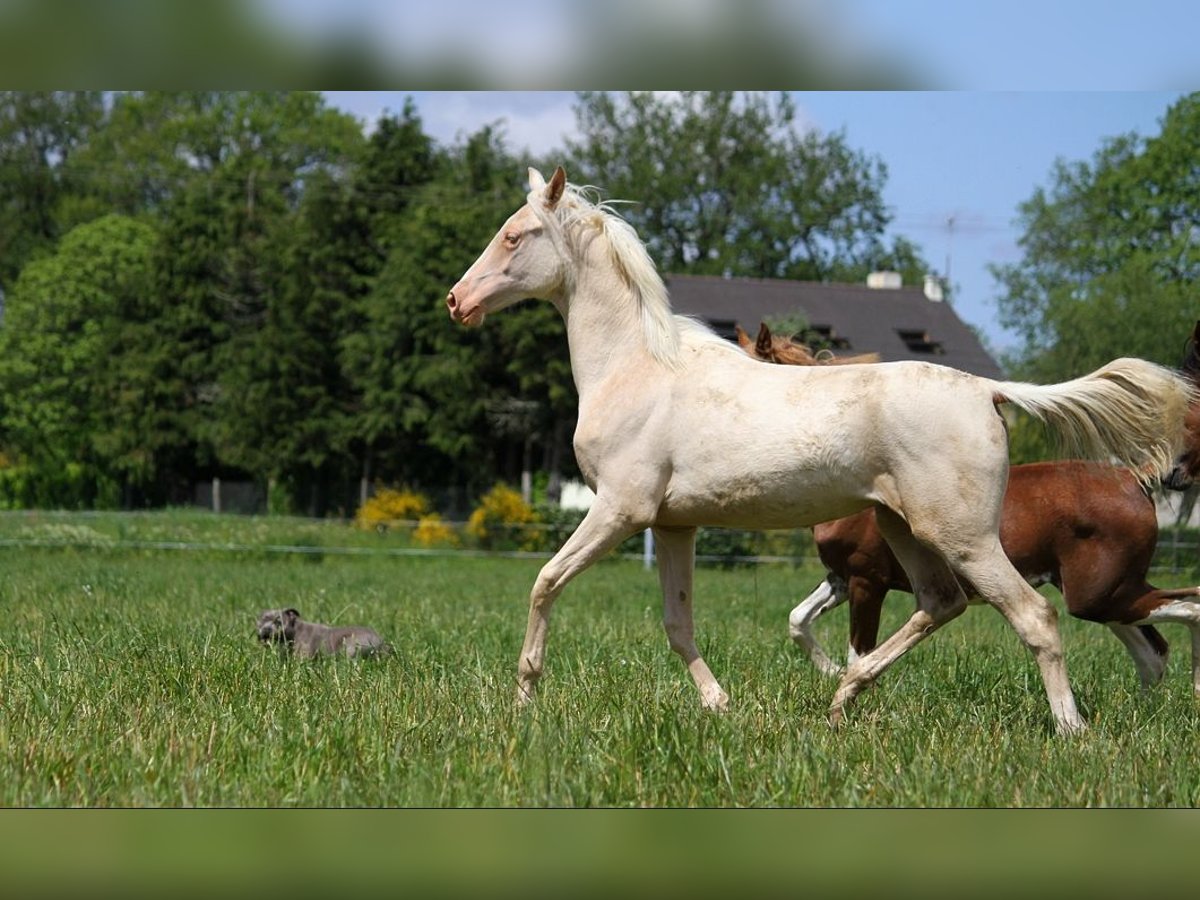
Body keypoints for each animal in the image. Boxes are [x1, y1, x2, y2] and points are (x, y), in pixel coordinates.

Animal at [255, 609, 391, 657]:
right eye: (260, 622)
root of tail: (381, 643)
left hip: (350, 644)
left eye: (278, 621)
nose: (266, 630)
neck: (295, 629)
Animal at [739, 324, 1200, 696]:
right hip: (1107, 593)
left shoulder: (866, 580)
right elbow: (798, 620)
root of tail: (1135, 479)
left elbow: (857, 650)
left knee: (1183, 612)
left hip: (1098, 595)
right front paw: (832, 672)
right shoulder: (839, 578)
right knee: (1154, 651)